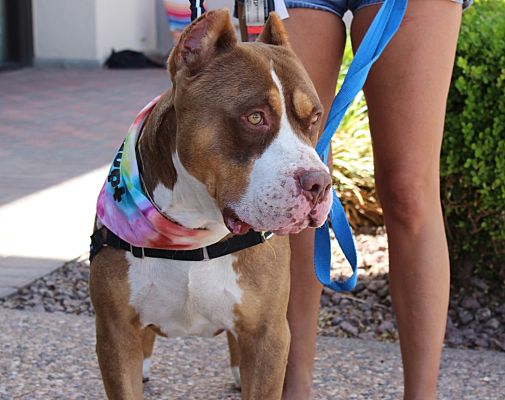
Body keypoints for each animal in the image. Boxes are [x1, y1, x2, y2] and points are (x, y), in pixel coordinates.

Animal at [90, 8, 332, 396]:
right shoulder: (114, 332)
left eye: (314, 119)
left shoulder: (268, 335)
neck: (196, 226)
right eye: (255, 117)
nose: (320, 183)